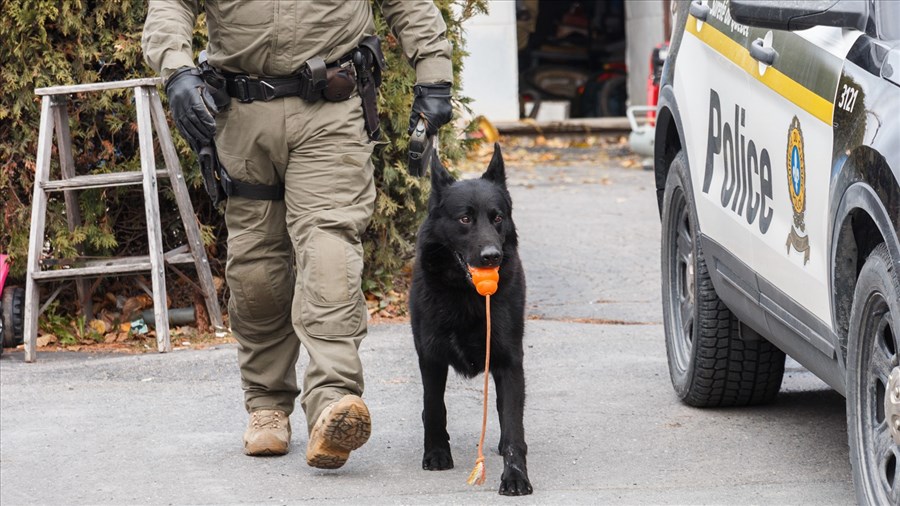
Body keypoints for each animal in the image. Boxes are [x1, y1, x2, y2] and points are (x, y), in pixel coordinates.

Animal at [410, 144, 532, 496]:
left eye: (497, 217)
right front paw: (437, 451)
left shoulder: (510, 362)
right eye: (465, 218)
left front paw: (515, 476)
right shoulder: (431, 357)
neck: (466, 296)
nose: (492, 257)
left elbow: (513, 423)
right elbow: (434, 407)